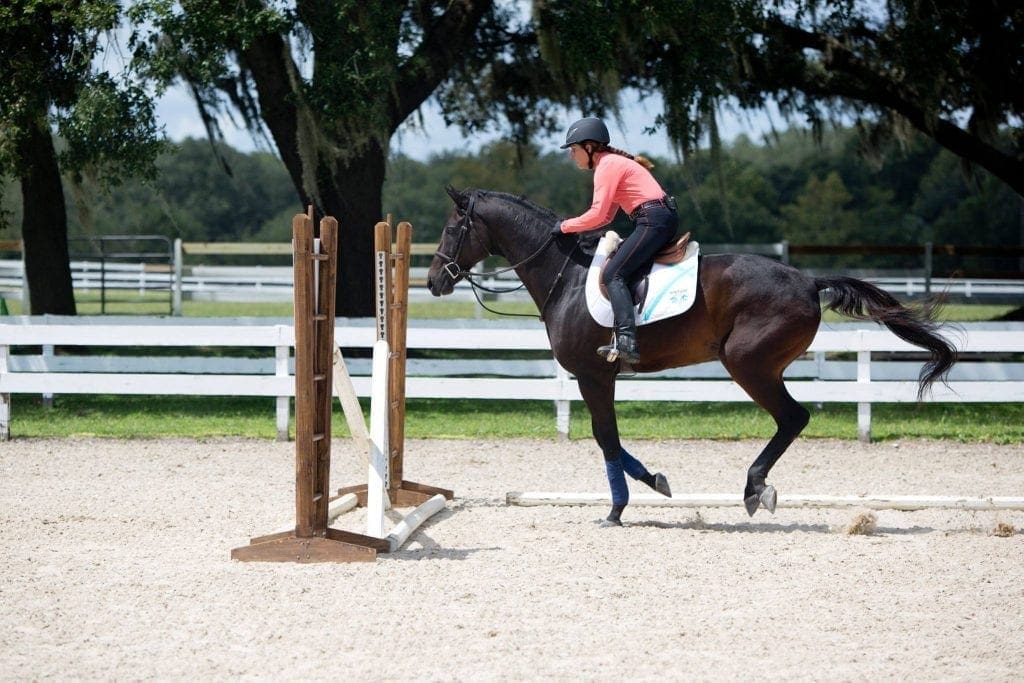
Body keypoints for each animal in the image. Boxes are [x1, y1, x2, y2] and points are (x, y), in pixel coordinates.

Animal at [425, 185, 958, 524]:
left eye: (452, 228)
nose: (433, 282)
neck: (567, 277)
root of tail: (809, 281)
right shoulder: (598, 378)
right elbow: (609, 439)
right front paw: (655, 482)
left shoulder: (594, 375)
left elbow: (606, 438)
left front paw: (617, 509)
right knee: (791, 418)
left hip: (747, 363)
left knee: (793, 417)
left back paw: (755, 488)